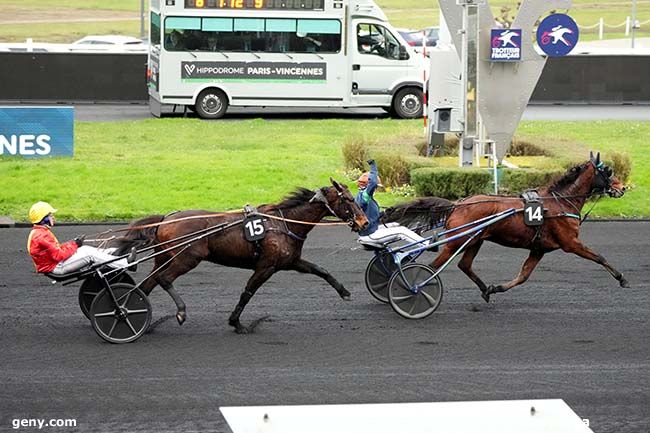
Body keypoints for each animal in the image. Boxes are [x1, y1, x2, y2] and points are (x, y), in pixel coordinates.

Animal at [109, 177, 368, 332]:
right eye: (348, 199)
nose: (364, 222)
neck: (283, 222)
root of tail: (165, 219)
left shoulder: (290, 261)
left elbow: (321, 270)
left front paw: (344, 292)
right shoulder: (266, 266)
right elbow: (248, 292)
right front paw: (236, 322)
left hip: (164, 258)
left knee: (147, 284)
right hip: (187, 258)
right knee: (164, 279)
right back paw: (179, 312)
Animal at [388, 154, 624, 302]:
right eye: (608, 172)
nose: (622, 187)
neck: (560, 203)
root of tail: (458, 204)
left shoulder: (539, 248)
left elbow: (523, 275)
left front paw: (496, 288)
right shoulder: (570, 243)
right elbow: (599, 257)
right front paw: (621, 278)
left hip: (475, 240)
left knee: (464, 265)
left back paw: (485, 290)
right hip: (456, 241)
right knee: (432, 267)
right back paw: (414, 287)